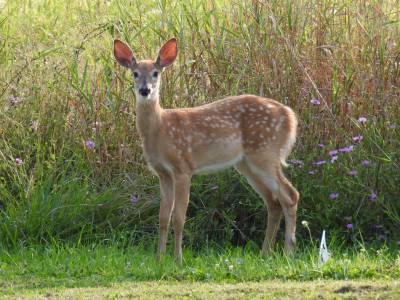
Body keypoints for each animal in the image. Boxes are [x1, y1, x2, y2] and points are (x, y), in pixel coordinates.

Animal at [114, 37, 298, 262]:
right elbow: (163, 217)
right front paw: (159, 259)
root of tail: (290, 116)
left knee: (290, 195)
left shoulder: (183, 167)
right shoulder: (162, 173)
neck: (160, 128)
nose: (145, 90)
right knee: (274, 201)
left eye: (156, 73)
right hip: (246, 163)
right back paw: (265, 253)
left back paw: (288, 252)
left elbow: (179, 217)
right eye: (135, 73)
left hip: (265, 152)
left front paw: (177, 259)